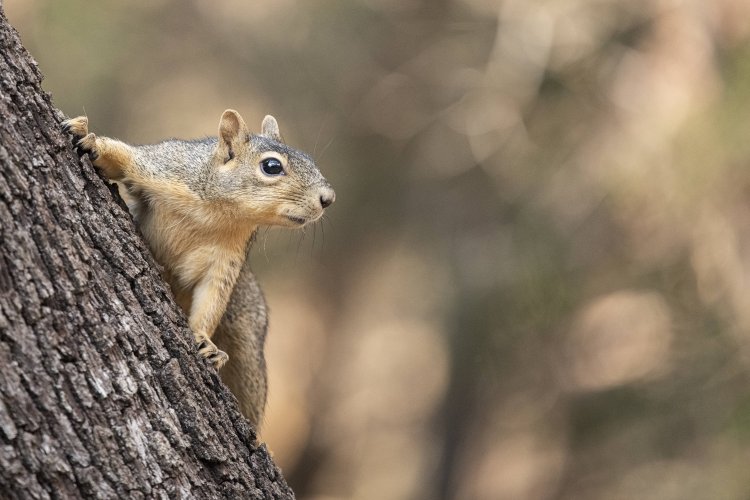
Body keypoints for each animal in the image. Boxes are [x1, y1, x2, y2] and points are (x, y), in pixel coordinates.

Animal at [60, 108, 336, 426]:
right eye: (271, 166)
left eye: (312, 160)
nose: (328, 198)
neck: (219, 213)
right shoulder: (166, 167)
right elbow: (122, 159)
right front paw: (87, 136)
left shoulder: (227, 261)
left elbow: (212, 298)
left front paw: (205, 342)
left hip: (247, 343)